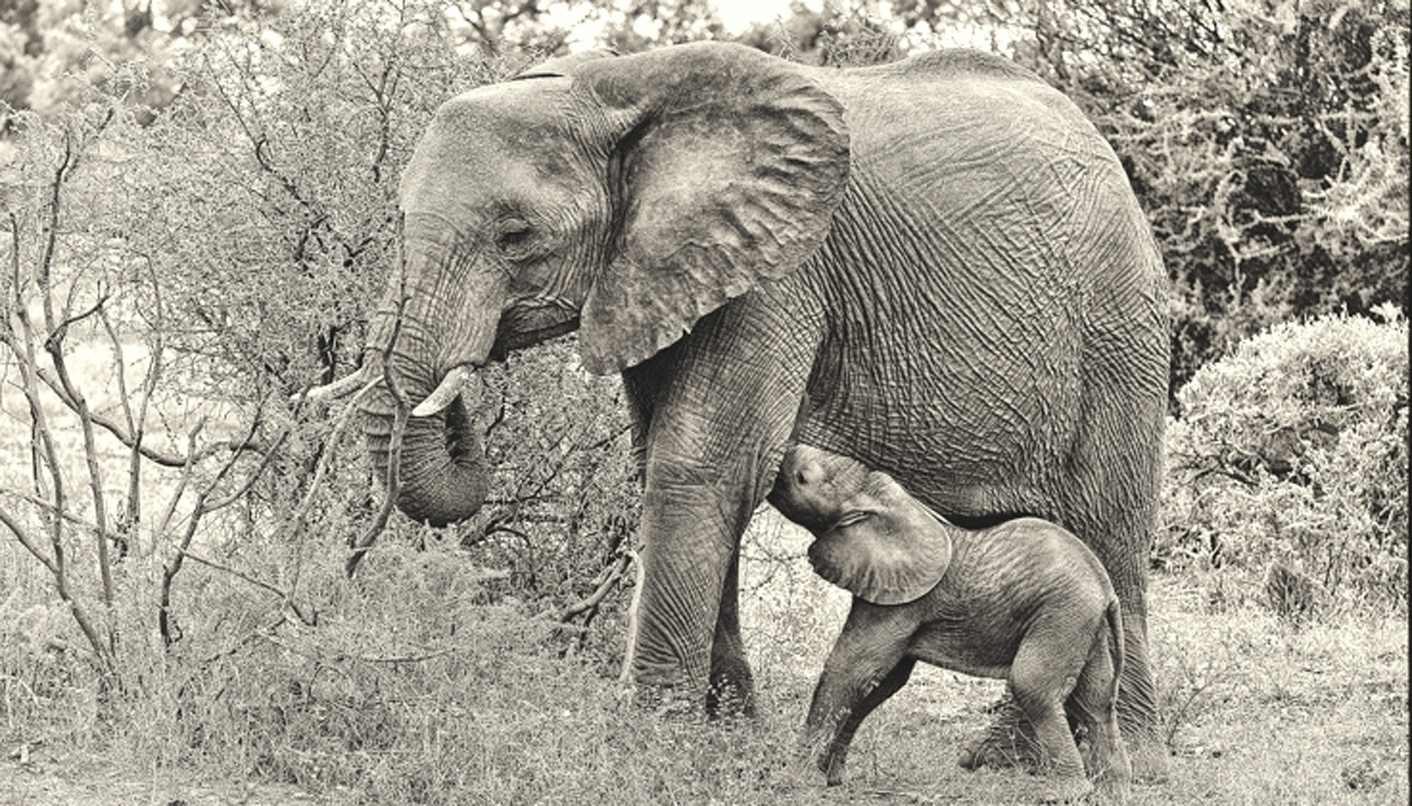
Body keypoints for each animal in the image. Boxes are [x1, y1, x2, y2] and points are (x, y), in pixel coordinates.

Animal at [772, 445, 1131, 800]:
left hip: (1061, 613)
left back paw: (1066, 793)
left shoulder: (902, 601)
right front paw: (831, 776)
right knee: (1095, 701)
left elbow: (852, 670)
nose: (786, 452)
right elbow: (883, 682)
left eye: (803, 478)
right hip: (1084, 624)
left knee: (1034, 687)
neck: (882, 501)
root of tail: (1106, 588)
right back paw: (1112, 790)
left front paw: (792, 780)